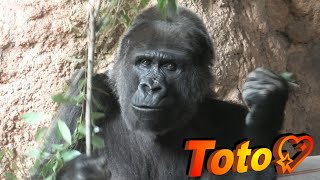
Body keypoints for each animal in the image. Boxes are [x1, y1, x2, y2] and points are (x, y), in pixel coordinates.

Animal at [43, 5, 290, 180]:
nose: (151, 87)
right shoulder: (85, 95)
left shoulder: (230, 118)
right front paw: (77, 174)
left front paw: (266, 108)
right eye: (144, 62)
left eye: (170, 66)